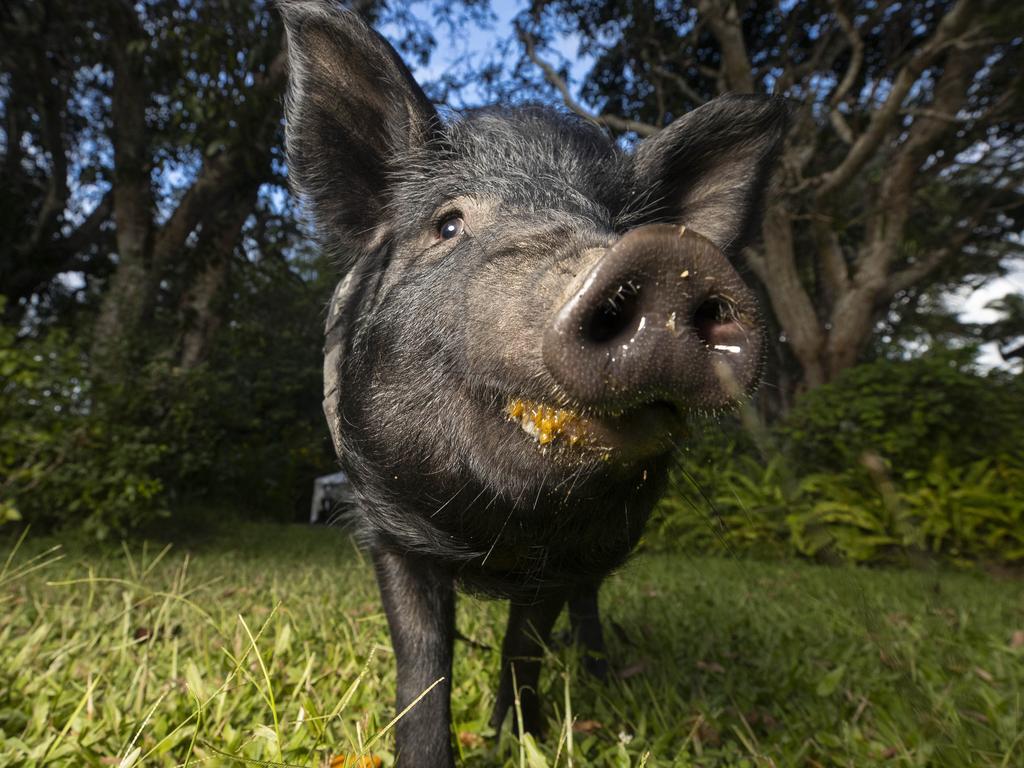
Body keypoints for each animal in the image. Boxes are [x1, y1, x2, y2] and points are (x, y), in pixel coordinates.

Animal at [280, 4, 782, 765]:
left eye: (622, 225)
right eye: (448, 223)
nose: (664, 258)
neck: (493, 535)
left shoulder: (568, 553)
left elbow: (526, 645)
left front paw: (521, 739)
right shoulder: (386, 528)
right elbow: (423, 661)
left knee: (589, 602)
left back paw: (600, 673)